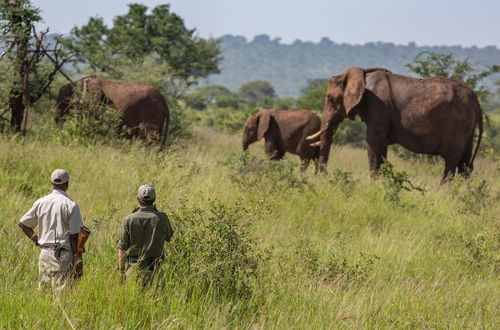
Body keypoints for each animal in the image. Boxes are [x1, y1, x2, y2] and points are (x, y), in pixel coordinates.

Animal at [306, 66, 482, 180]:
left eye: (329, 98)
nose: (321, 177)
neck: (361, 74)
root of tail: (475, 100)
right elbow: (381, 147)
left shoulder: (378, 106)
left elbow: (373, 143)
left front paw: (374, 184)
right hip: (468, 128)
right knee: (464, 163)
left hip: (459, 125)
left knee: (452, 160)